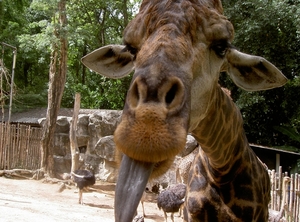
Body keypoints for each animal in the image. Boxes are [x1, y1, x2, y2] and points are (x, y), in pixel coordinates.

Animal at [81, 0, 288, 222]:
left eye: (221, 46)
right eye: (131, 49)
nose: (146, 134)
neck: (222, 168)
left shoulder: (258, 215)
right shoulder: (193, 213)